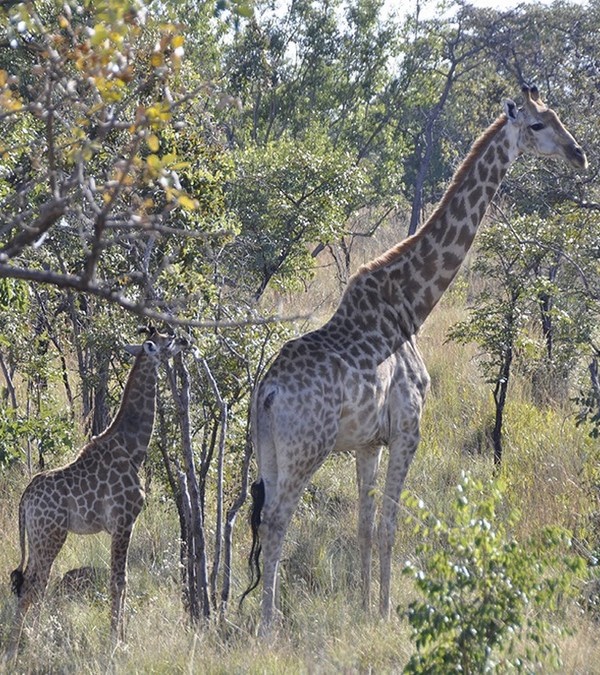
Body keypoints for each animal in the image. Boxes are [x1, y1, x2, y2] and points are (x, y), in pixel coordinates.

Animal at [7, 330, 188, 656]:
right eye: (166, 340)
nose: (185, 340)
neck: (133, 448)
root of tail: (25, 499)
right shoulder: (124, 521)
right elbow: (119, 580)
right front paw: (117, 642)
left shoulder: (122, 524)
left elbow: (121, 580)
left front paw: (121, 637)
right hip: (51, 535)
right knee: (33, 586)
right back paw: (19, 648)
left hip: (38, 537)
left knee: (32, 583)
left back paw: (28, 640)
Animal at [243, 86, 584, 632]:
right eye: (537, 125)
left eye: (557, 116)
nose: (579, 154)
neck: (410, 307)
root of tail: (269, 390)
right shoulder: (409, 428)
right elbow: (390, 526)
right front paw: (385, 613)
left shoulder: (368, 442)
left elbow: (363, 527)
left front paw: (362, 608)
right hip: (306, 450)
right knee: (277, 521)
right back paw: (268, 627)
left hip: (268, 450)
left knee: (260, 518)